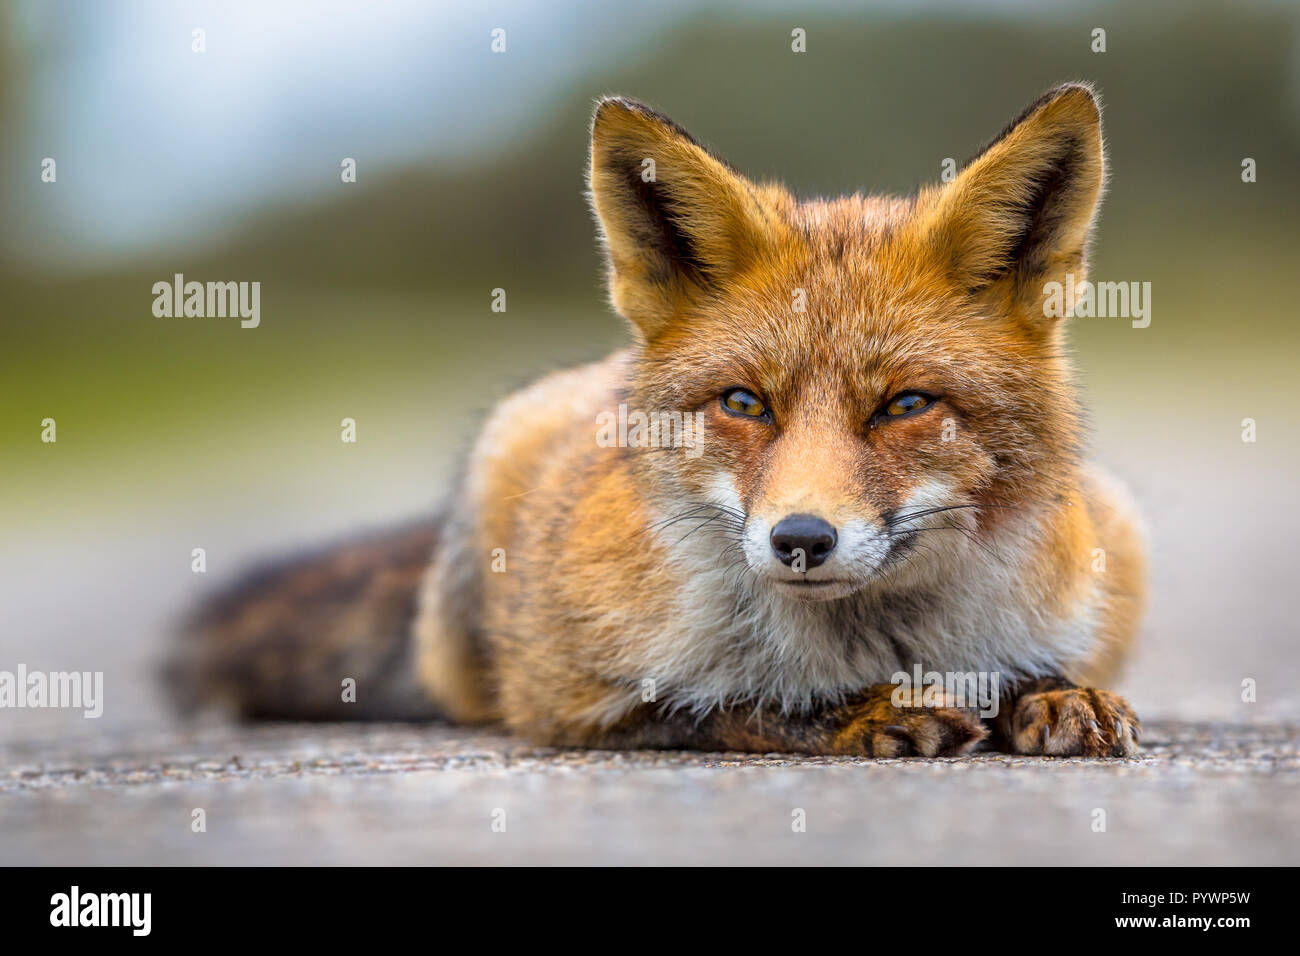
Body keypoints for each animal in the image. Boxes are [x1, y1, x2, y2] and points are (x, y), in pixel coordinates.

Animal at [178, 83, 1144, 754]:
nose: (801, 539)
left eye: (905, 405)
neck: (875, 644)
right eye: (744, 403)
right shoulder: (568, 697)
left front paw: (1047, 691)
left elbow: (1041, 670)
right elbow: (727, 704)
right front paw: (856, 712)